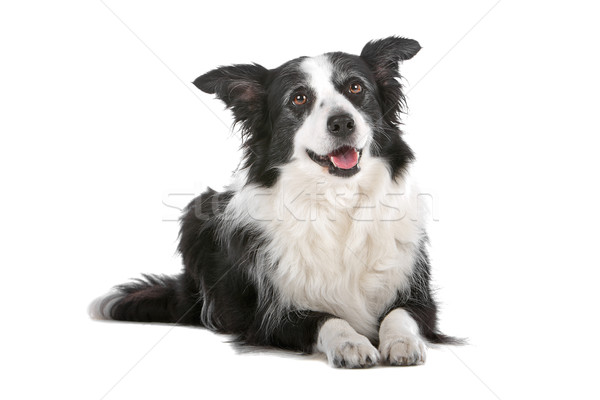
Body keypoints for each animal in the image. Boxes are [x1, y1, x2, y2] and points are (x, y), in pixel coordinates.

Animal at [91, 37, 460, 368]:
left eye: (356, 88)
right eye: (299, 98)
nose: (342, 122)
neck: (336, 199)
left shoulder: (420, 297)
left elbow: (400, 314)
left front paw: (401, 342)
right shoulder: (269, 317)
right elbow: (326, 318)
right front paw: (351, 343)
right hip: (196, 214)